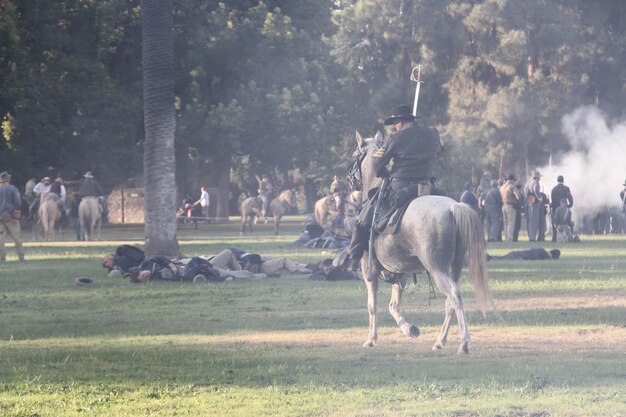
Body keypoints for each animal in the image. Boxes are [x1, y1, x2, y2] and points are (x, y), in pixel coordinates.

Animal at [348, 132, 490, 352]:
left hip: (437, 268)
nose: (350, 183)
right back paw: (440, 341)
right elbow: (394, 305)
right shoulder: (401, 272)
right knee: (450, 301)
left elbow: (373, 306)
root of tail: (453, 208)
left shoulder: (369, 270)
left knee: (454, 296)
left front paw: (371, 339)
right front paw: (409, 328)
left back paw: (464, 342)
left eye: (355, 154)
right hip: (454, 268)